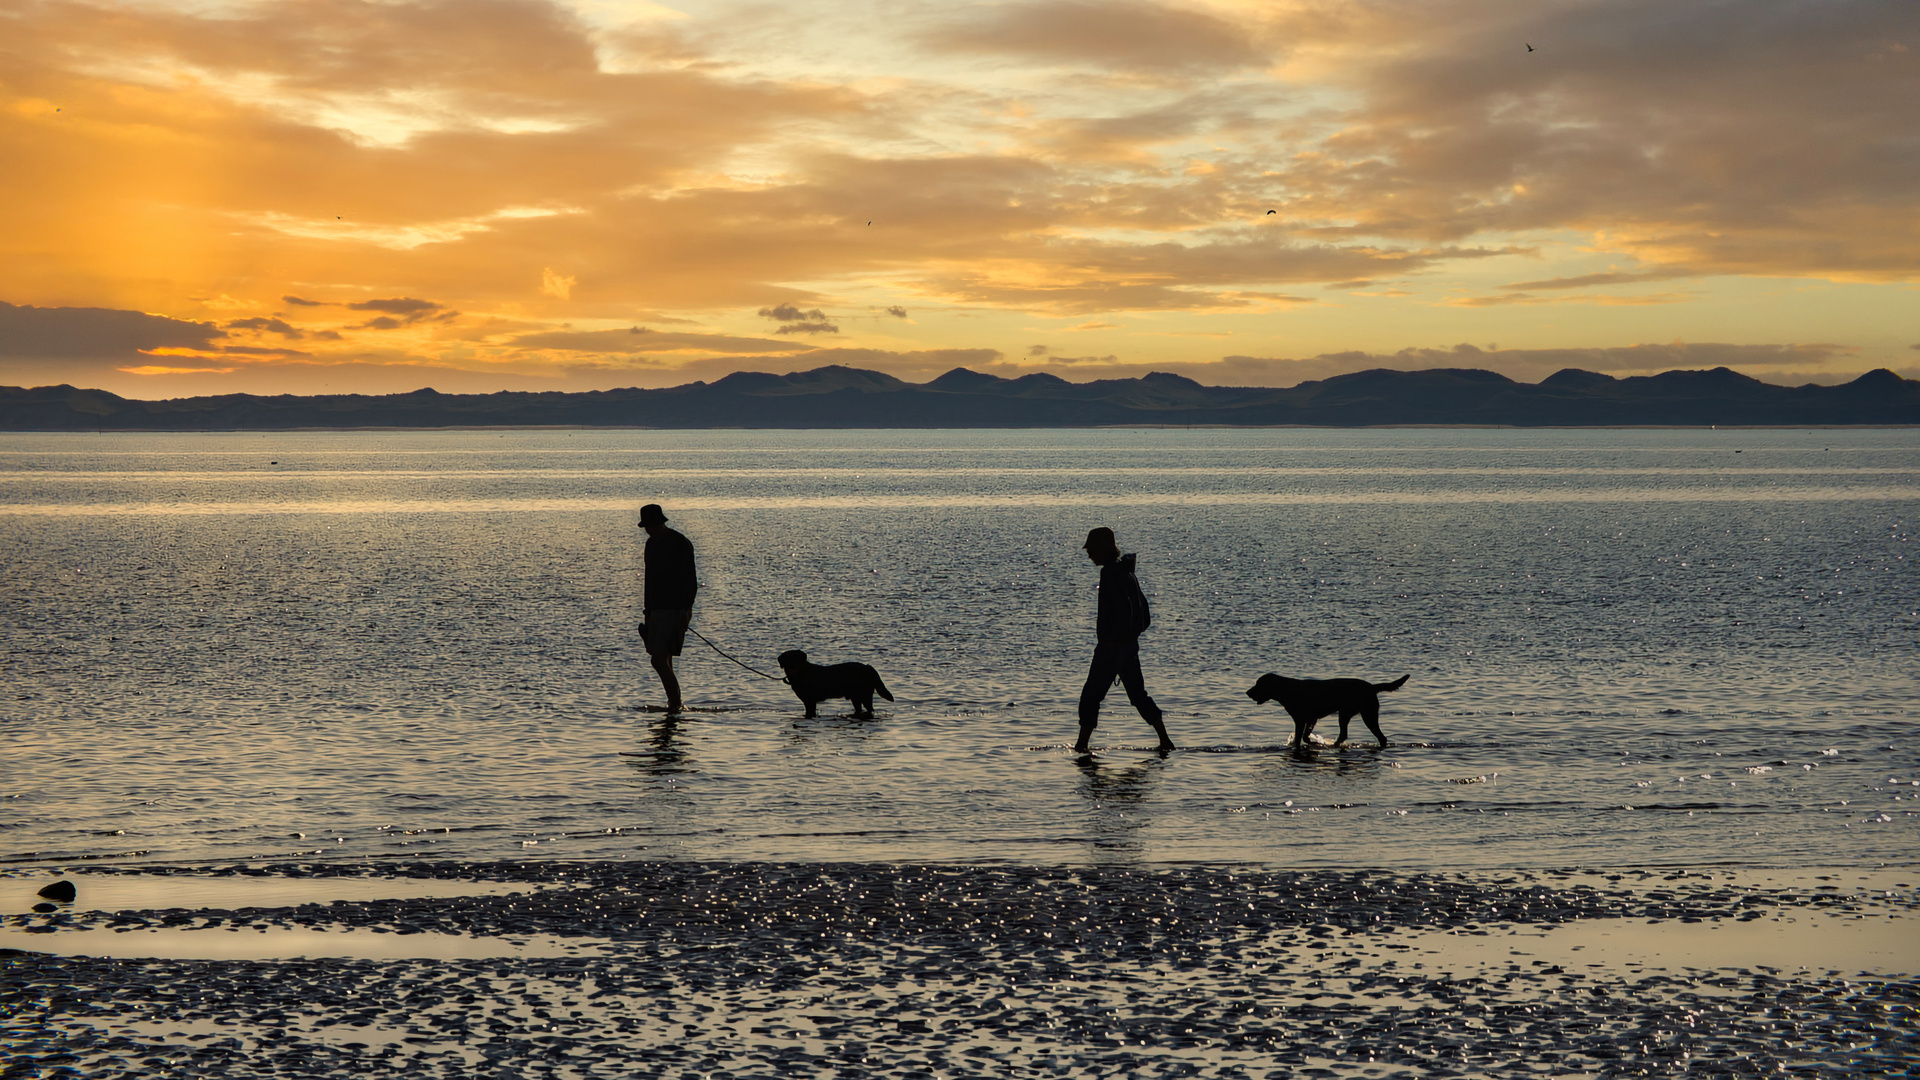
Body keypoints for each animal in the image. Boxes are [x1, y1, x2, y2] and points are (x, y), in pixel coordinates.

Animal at [1244, 668, 1413, 745]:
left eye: (1258, 684)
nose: (1247, 692)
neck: (1287, 691)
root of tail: (1372, 687)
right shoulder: (1311, 719)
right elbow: (1305, 736)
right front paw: (1313, 742)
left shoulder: (1300, 719)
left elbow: (1299, 738)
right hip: (1347, 714)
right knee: (1346, 735)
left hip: (1364, 715)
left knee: (1379, 737)